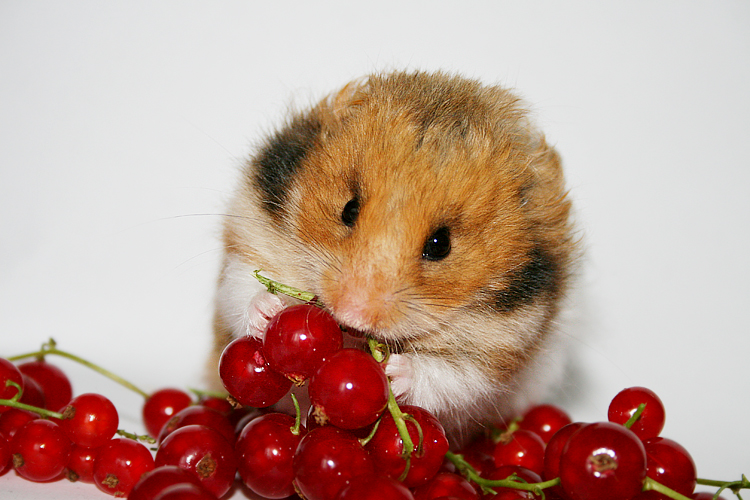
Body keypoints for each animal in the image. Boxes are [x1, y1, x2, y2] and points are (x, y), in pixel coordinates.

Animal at [209, 71, 580, 446]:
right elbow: (241, 289)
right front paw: (269, 311)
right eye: (349, 209)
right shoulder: (252, 234)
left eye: (440, 244)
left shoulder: (502, 346)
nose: (351, 316)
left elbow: (452, 376)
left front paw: (392, 373)